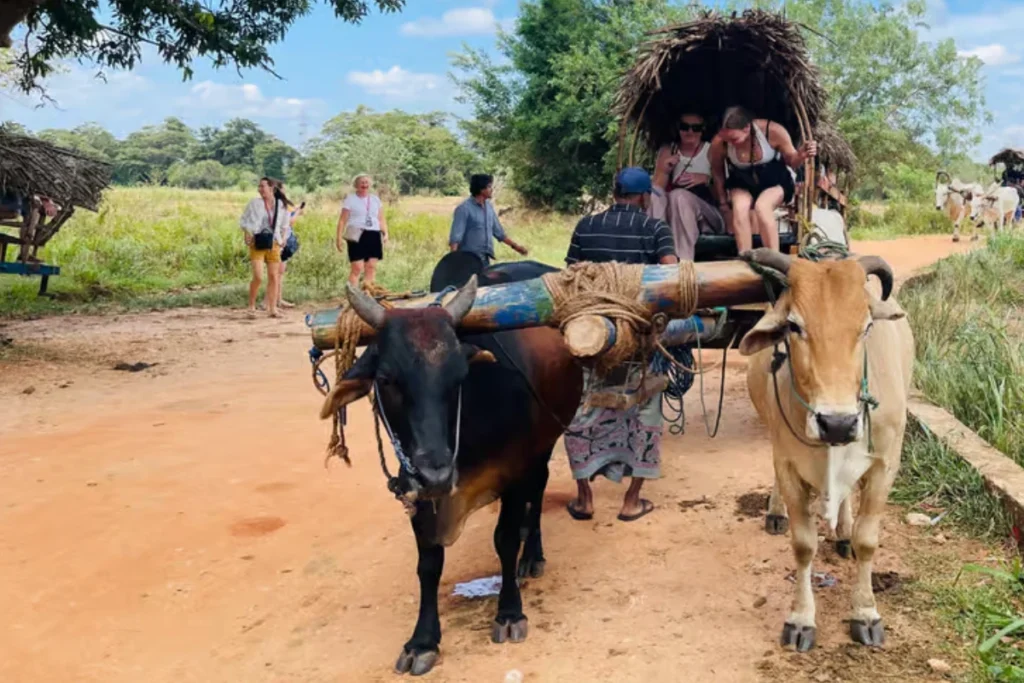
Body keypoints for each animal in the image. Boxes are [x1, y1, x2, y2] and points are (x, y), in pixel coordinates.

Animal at [319, 252, 583, 676]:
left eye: (459, 376)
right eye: (387, 379)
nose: (437, 473)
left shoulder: (513, 471)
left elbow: (505, 539)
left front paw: (509, 612)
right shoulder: (414, 485)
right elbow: (428, 562)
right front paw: (423, 640)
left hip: (544, 443)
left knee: (538, 490)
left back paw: (533, 555)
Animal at [740, 249, 914, 652]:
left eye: (867, 326)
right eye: (793, 326)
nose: (837, 423)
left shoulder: (885, 466)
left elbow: (868, 541)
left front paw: (865, 613)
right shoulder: (788, 463)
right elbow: (804, 545)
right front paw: (801, 619)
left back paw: (844, 532)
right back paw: (775, 512)